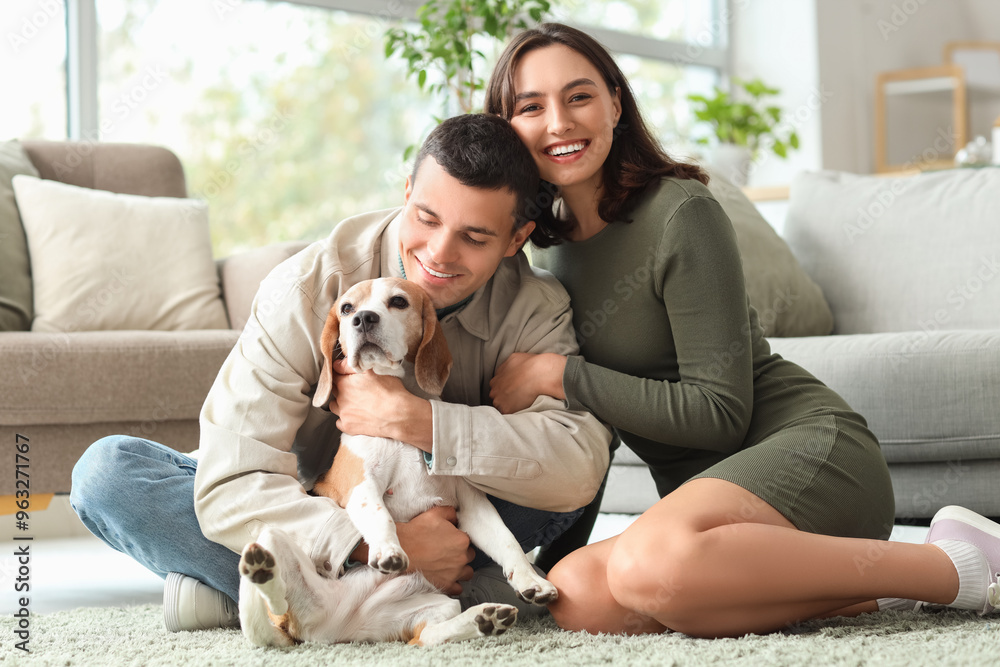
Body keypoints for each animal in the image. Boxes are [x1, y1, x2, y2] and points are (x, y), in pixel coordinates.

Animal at [238, 276, 560, 648]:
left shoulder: (472, 505)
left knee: (429, 636)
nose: (362, 318)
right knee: (271, 604)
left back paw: (485, 620)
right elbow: (380, 515)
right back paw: (262, 571)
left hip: (437, 606)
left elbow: (506, 540)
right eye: (346, 308)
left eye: (398, 302)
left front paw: (531, 581)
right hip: (268, 536)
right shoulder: (362, 484)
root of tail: (330, 631)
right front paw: (387, 551)